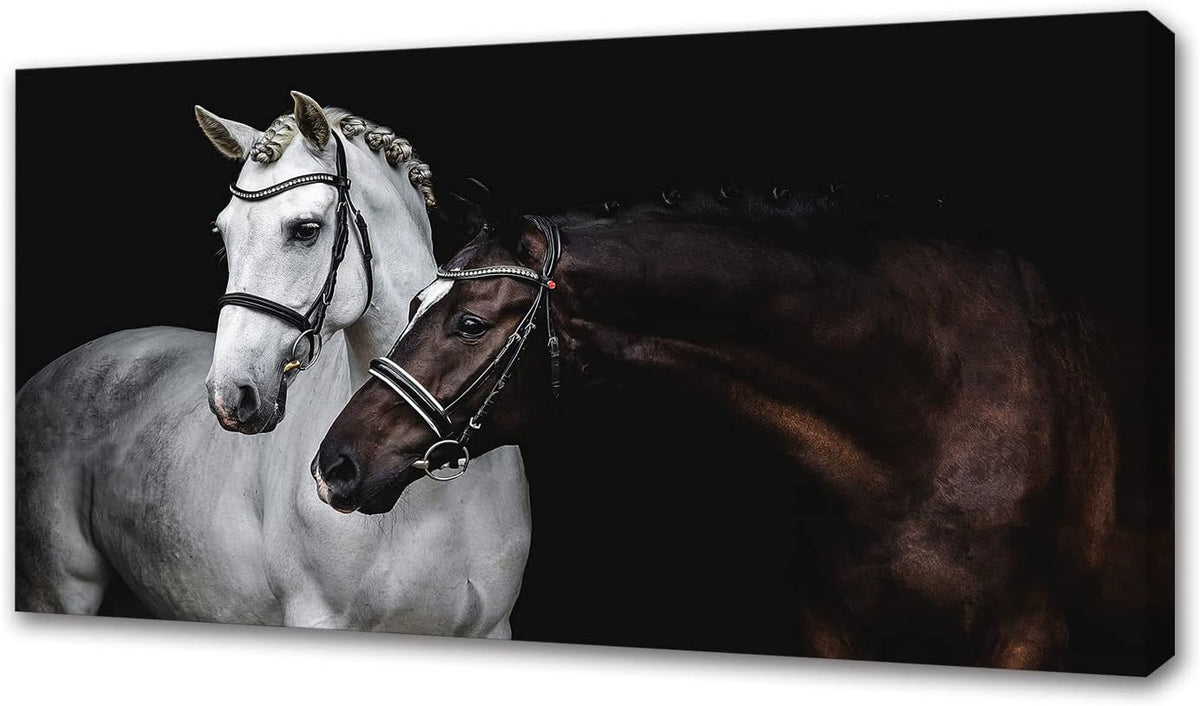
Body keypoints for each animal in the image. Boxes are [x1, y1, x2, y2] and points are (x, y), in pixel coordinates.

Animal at [16, 92, 531, 636]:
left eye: (305, 230)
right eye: (223, 232)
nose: (231, 395)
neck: (425, 492)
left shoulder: (493, 628)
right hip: (59, 592)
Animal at [310, 185, 1151, 669]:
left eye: (470, 323)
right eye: (416, 306)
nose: (334, 465)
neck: (928, 406)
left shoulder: (1026, 639)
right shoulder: (830, 630)